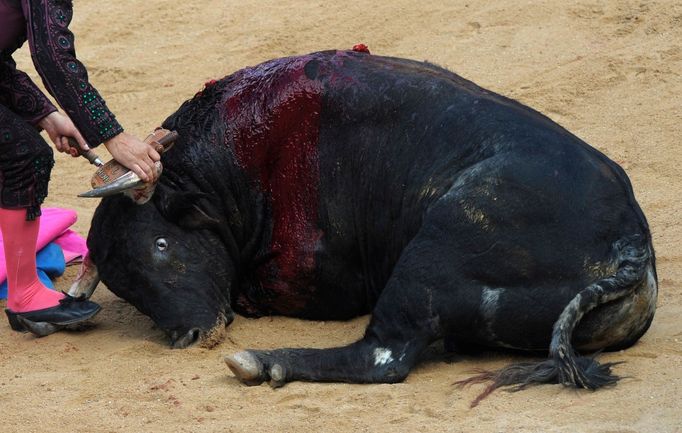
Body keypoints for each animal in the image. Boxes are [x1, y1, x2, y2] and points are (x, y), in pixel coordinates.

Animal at [66, 48, 656, 398]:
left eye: (161, 245)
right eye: (124, 284)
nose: (189, 335)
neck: (239, 162)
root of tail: (631, 243)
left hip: (435, 251)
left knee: (384, 355)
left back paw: (260, 362)